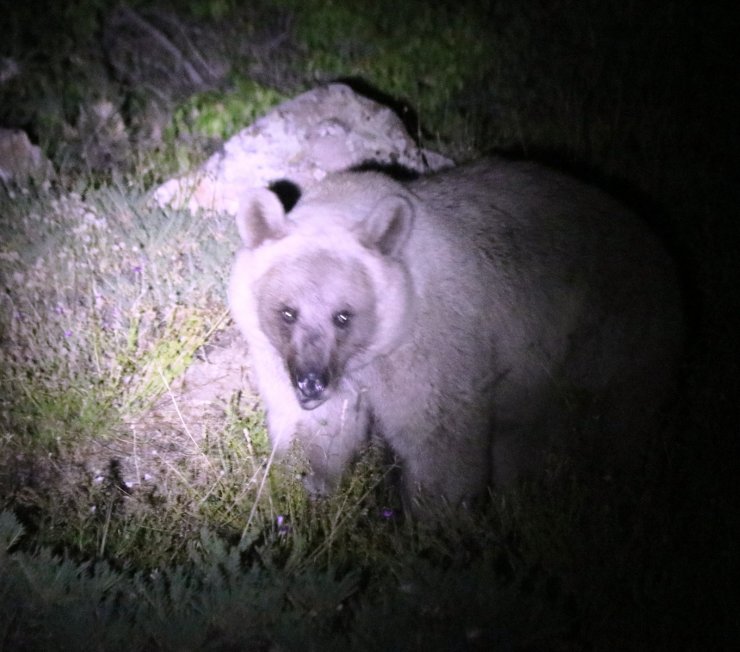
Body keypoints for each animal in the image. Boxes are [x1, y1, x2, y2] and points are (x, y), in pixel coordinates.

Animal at [227, 158, 684, 510]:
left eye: (344, 315)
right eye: (287, 312)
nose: (311, 382)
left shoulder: (430, 346)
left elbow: (438, 441)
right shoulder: (292, 358)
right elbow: (318, 432)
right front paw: (307, 489)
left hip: (610, 341)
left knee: (607, 427)